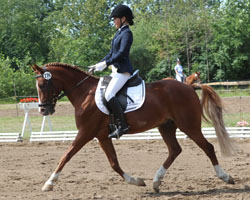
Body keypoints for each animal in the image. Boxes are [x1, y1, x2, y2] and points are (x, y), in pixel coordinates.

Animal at [31, 63, 234, 193]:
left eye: (42, 84)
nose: (43, 110)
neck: (85, 93)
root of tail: (188, 87)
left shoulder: (85, 133)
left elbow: (66, 156)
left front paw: (49, 183)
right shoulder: (102, 136)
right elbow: (114, 163)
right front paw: (136, 181)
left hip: (189, 126)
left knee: (208, 147)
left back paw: (225, 176)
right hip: (166, 126)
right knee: (175, 150)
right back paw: (156, 181)